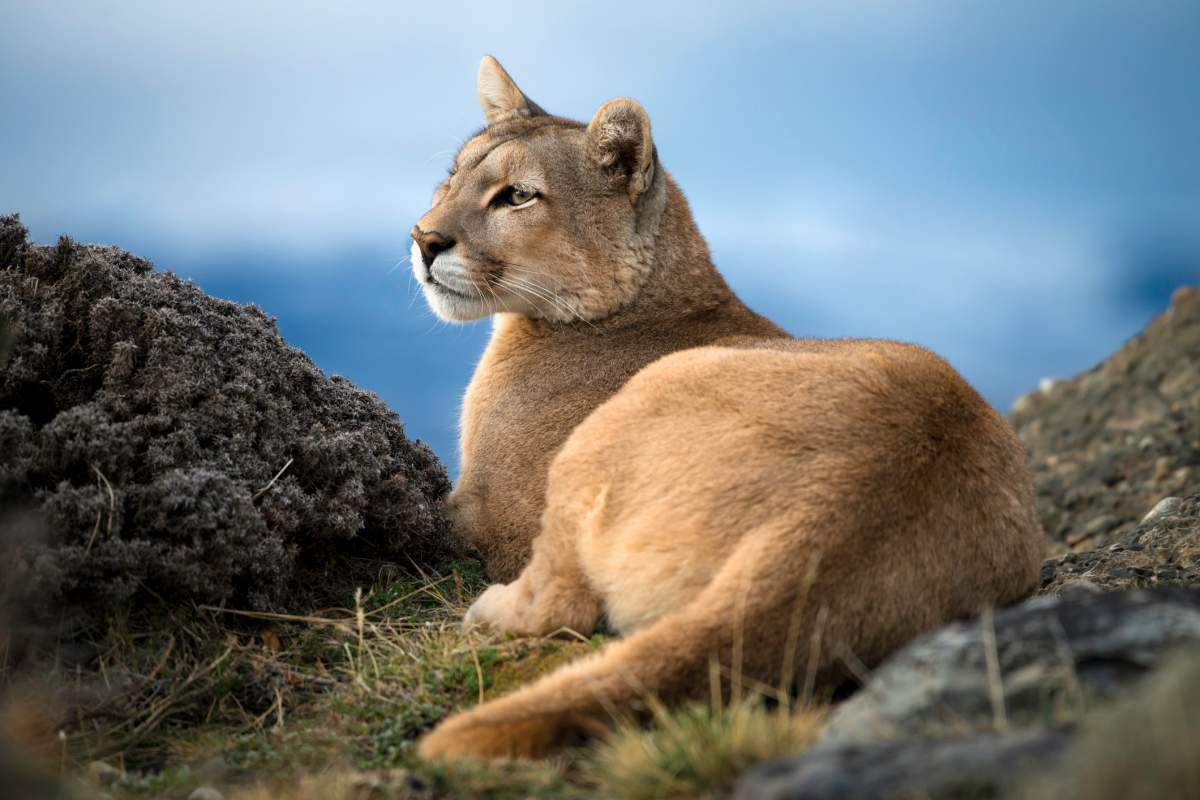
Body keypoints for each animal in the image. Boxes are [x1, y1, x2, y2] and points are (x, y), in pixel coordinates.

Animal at [409, 56, 1045, 760]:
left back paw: (487, 610)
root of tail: (829, 522)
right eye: (451, 176)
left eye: (517, 196)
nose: (423, 238)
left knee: (563, 606)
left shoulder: (488, 515)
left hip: (622, 422)